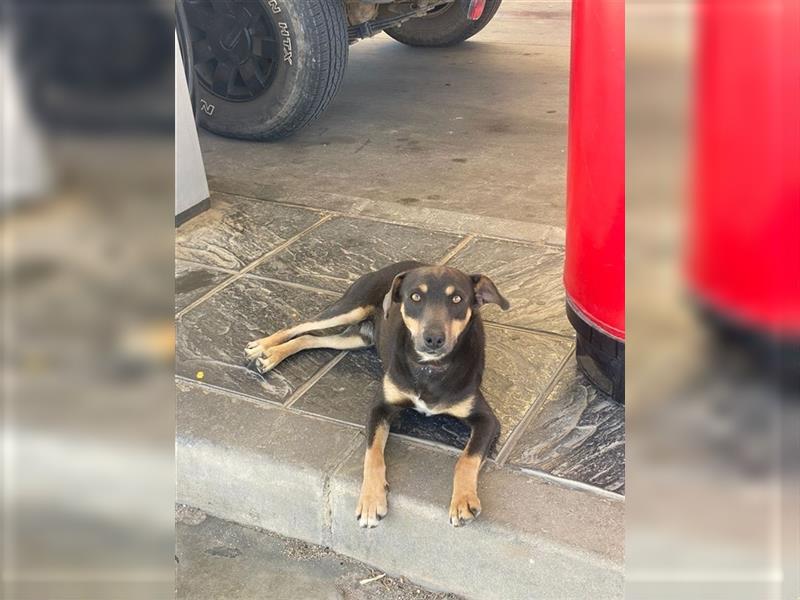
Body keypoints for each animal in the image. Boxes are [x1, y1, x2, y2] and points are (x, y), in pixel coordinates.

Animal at [244, 262, 510, 528]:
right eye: (415, 297)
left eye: (457, 299)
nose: (433, 338)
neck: (428, 368)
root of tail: (401, 265)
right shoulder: (379, 407)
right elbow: (372, 455)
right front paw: (371, 501)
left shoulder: (487, 420)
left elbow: (466, 459)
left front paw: (463, 499)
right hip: (350, 308)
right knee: (301, 326)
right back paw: (263, 348)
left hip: (357, 338)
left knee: (310, 338)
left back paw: (271, 355)